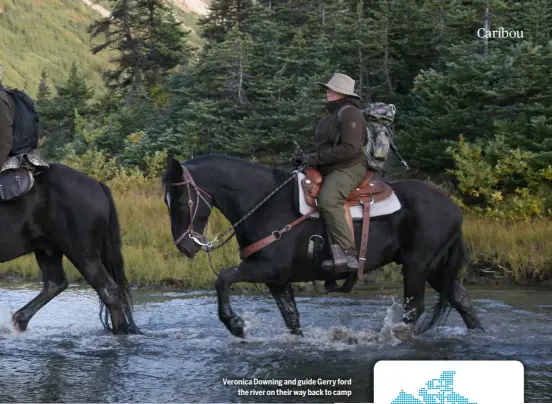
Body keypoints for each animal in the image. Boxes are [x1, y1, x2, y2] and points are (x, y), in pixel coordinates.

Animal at [0, 163, 140, 332]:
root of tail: (98, 186)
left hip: (82, 253)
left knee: (108, 290)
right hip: (47, 249)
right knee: (55, 283)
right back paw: (19, 321)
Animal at [163, 154, 484, 338]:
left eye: (180, 200)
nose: (184, 247)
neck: (264, 203)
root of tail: (454, 209)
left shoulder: (267, 268)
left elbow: (223, 278)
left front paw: (235, 324)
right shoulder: (277, 280)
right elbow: (291, 319)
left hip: (417, 266)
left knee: (414, 308)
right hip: (435, 267)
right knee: (461, 299)